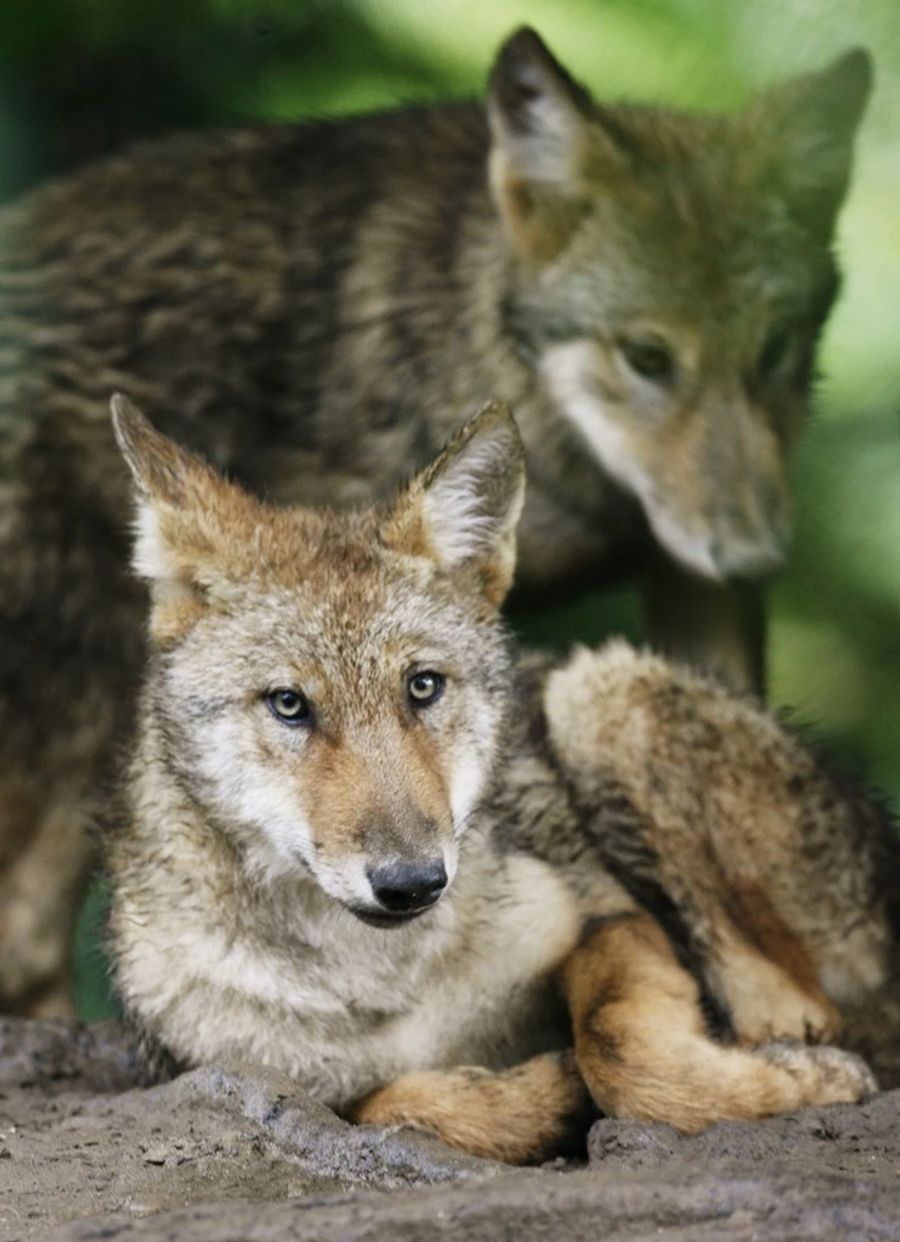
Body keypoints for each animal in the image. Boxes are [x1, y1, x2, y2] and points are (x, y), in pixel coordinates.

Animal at [101, 397, 893, 1162]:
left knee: (806, 1012)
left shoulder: (604, 913)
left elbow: (617, 1047)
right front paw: (543, 1093)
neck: (386, 984)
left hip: (595, 691)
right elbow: (396, 1102)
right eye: (290, 705)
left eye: (422, 686)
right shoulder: (257, 1079)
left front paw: (800, 1084)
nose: (412, 882)